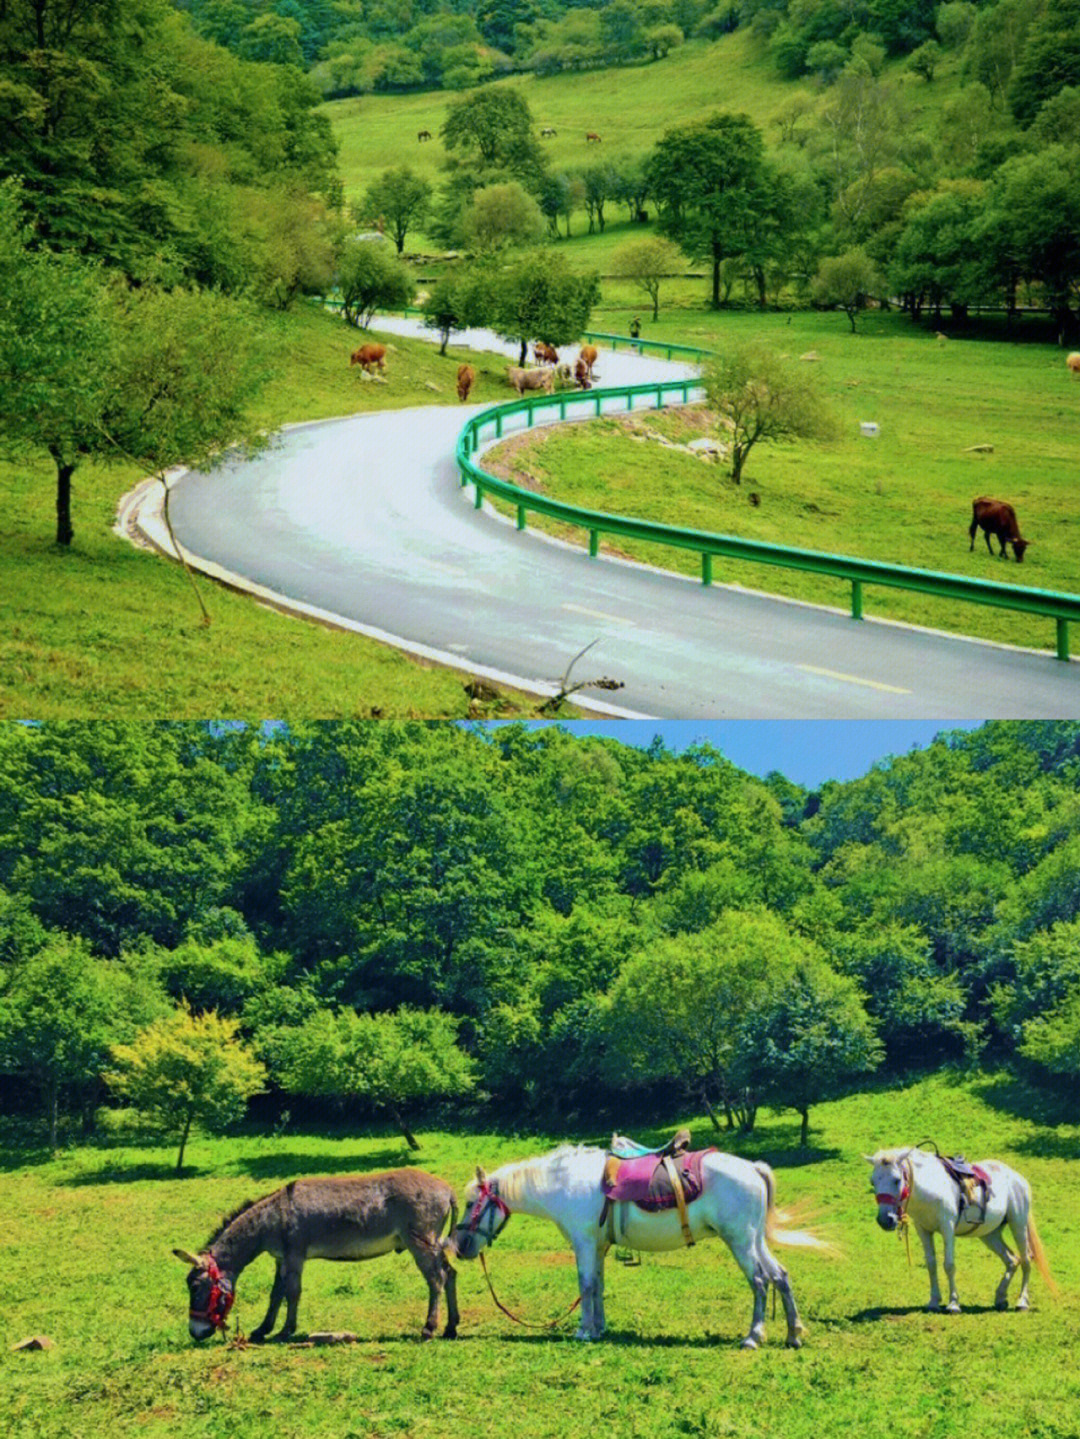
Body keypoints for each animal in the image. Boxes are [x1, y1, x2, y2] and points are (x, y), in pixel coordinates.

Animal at [171, 1174, 457, 1341]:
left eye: (194, 1287)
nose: (195, 1333)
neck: (271, 1219)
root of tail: (447, 1189)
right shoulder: (281, 1258)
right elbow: (275, 1294)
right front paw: (262, 1330)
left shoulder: (295, 1255)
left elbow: (292, 1292)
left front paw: (285, 1331)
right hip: (432, 1243)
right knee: (450, 1274)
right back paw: (451, 1328)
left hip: (419, 1241)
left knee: (436, 1279)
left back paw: (429, 1328)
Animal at [448, 1133, 828, 1346]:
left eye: (470, 1203)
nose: (459, 1247)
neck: (565, 1183)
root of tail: (752, 1168)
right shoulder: (599, 1247)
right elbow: (597, 1286)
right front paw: (598, 1329)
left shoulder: (584, 1244)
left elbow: (585, 1285)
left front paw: (584, 1331)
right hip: (754, 1240)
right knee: (780, 1276)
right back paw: (793, 1334)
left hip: (740, 1241)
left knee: (760, 1281)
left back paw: (753, 1337)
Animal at [868, 1145, 1058, 1318]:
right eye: (873, 1181)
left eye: (896, 1180)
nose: (885, 1220)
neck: (930, 1188)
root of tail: (1018, 1179)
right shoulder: (923, 1230)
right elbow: (931, 1264)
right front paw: (933, 1302)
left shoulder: (947, 1227)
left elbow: (949, 1265)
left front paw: (953, 1304)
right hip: (989, 1234)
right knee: (1012, 1260)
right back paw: (1000, 1298)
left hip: (1018, 1224)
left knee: (1026, 1260)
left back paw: (1022, 1302)